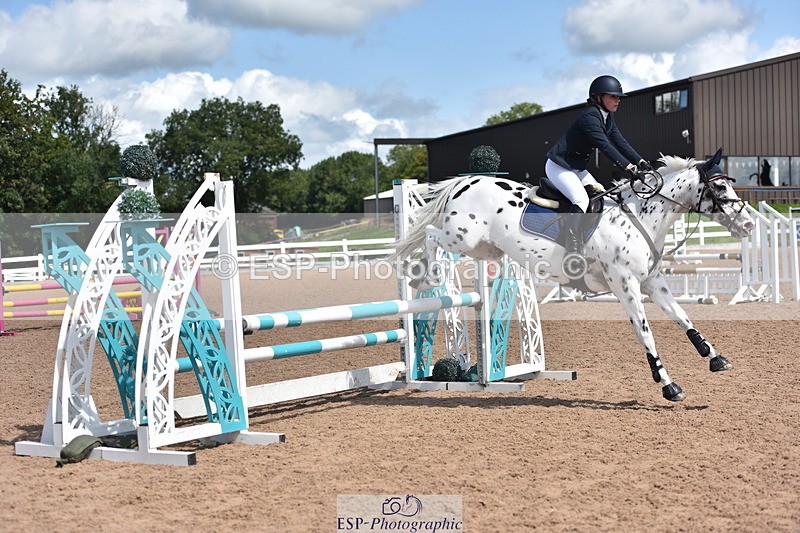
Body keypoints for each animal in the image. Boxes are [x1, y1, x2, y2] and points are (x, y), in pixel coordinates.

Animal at [391, 148, 755, 402]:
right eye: (720, 188)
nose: (749, 224)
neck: (640, 216)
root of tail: (466, 181)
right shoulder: (625, 284)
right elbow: (646, 333)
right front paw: (668, 385)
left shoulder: (652, 281)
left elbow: (682, 316)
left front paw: (715, 358)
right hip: (461, 237)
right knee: (430, 237)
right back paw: (425, 276)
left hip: (485, 249)